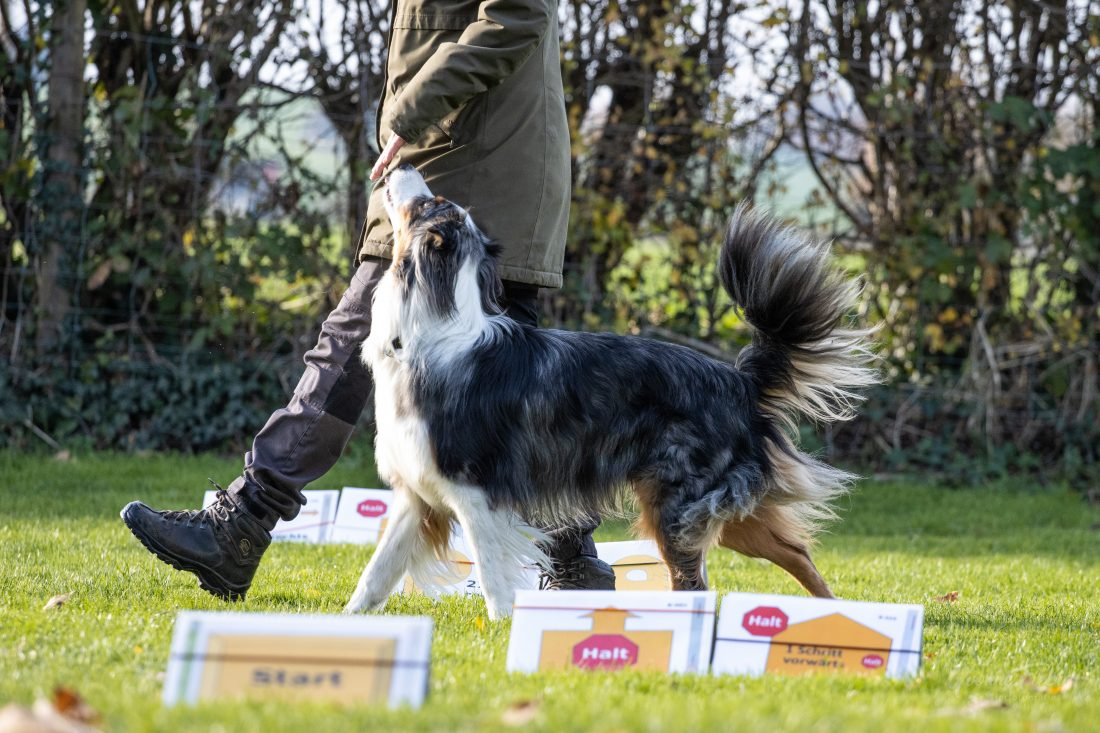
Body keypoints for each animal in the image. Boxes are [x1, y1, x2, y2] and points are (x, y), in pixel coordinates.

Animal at [343, 163, 875, 616]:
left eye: (428, 201)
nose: (400, 164)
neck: (432, 324)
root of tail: (738, 380)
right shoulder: (417, 492)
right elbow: (376, 572)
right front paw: (345, 622)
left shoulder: (478, 494)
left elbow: (493, 575)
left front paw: (503, 627)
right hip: (723, 512)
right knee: (795, 552)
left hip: (678, 509)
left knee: (698, 583)